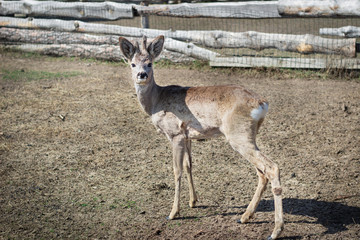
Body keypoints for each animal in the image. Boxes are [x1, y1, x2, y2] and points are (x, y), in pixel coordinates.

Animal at [119, 35, 282, 240]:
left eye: (150, 63)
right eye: (132, 64)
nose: (141, 75)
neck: (156, 102)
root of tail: (262, 103)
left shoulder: (175, 134)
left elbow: (177, 170)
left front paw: (173, 213)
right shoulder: (188, 136)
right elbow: (189, 165)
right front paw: (193, 201)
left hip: (239, 135)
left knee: (272, 168)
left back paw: (275, 231)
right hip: (248, 136)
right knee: (262, 172)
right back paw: (245, 217)